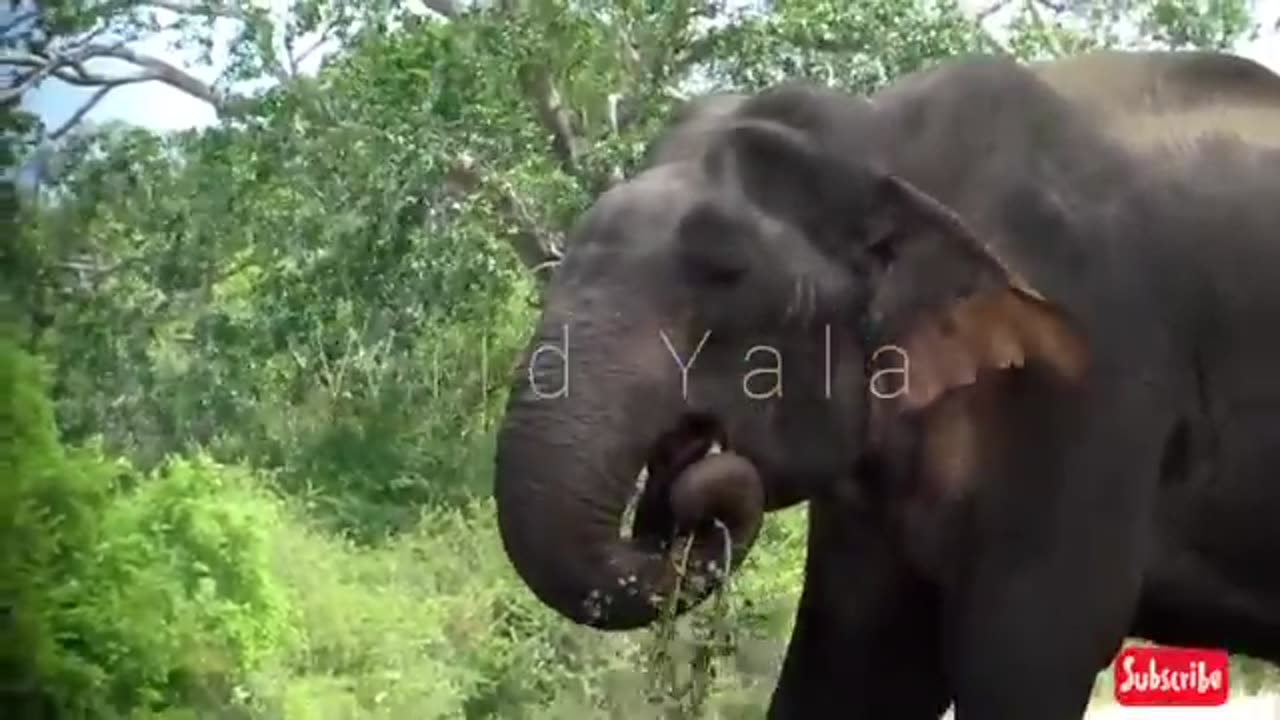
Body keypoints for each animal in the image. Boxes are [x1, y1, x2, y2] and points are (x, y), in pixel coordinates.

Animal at [491, 48, 1280, 719]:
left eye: (727, 273)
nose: (679, 503)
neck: (886, 142)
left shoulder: (1098, 373)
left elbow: (1027, 647)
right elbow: (857, 662)